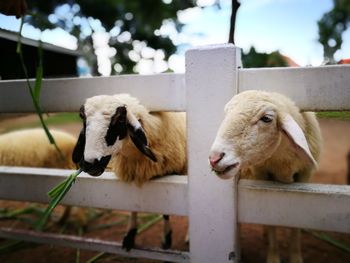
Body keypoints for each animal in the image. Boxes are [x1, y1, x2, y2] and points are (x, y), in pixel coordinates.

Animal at [72, 93, 187, 252]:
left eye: (120, 119)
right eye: (82, 117)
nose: (90, 164)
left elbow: (165, 212)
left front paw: (166, 239)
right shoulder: (133, 173)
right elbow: (132, 205)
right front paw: (130, 235)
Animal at [209, 90, 322, 263]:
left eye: (267, 118)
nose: (214, 158)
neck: (282, 163)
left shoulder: (304, 177)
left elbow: (295, 224)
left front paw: (295, 256)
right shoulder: (261, 177)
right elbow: (269, 221)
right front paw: (273, 256)